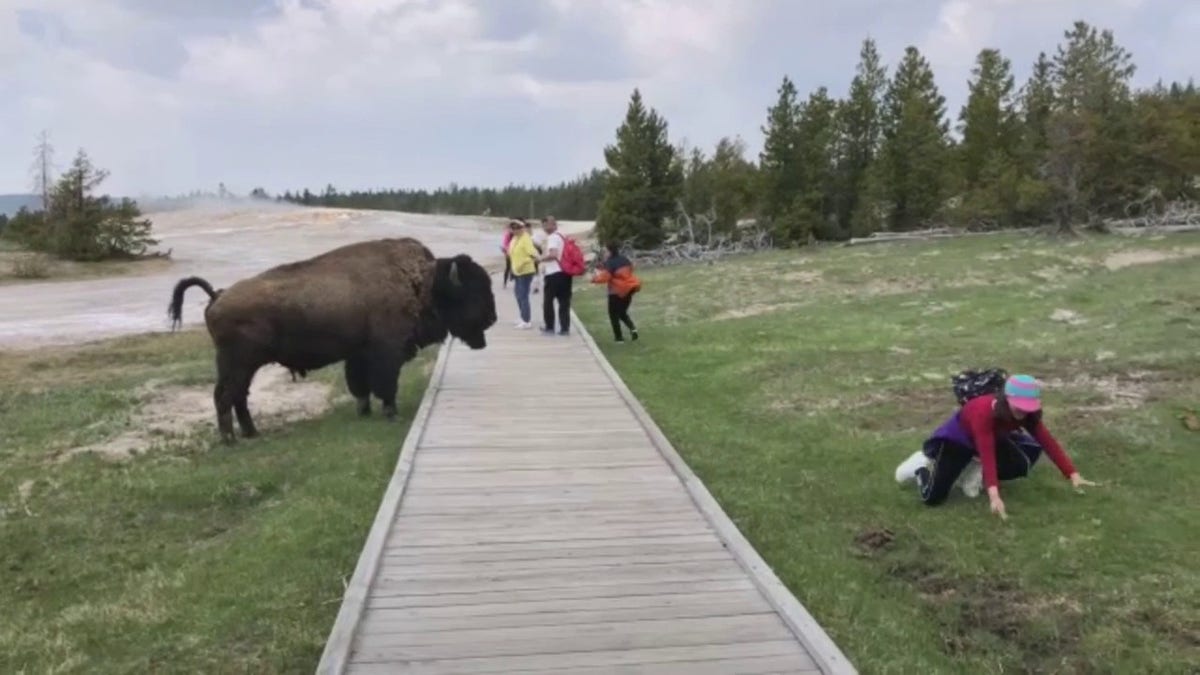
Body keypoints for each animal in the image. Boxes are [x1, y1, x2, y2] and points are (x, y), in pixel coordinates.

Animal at [166, 236, 494, 441]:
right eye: (472, 292)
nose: (492, 318)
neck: (423, 283)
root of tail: (217, 295)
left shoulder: (358, 355)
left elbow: (360, 387)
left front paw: (364, 412)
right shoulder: (386, 353)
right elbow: (385, 385)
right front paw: (391, 413)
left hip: (241, 366)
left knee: (237, 396)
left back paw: (251, 433)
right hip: (237, 363)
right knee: (225, 396)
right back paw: (231, 439)